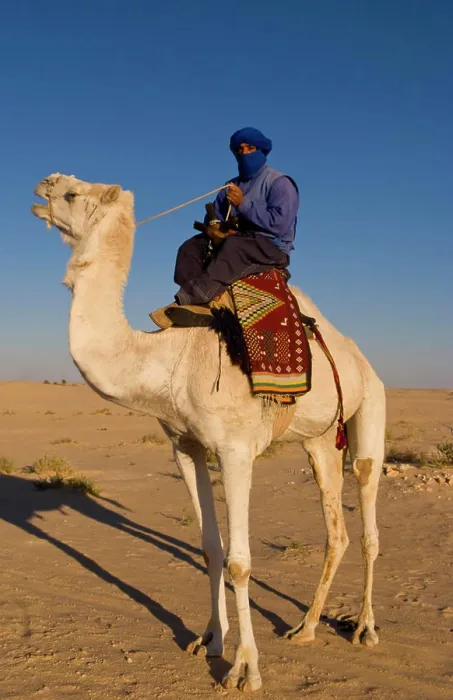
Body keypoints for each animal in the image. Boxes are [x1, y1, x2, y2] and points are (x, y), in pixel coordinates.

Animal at [31, 174, 386, 693]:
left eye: (75, 194)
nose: (43, 185)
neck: (168, 357)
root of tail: (361, 358)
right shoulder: (185, 446)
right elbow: (210, 547)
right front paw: (209, 640)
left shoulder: (235, 449)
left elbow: (240, 560)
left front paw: (245, 669)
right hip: (318, 441)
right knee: (335, 530)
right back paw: (304, 628)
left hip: (371, 408)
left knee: (365, 510)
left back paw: (363, 628)